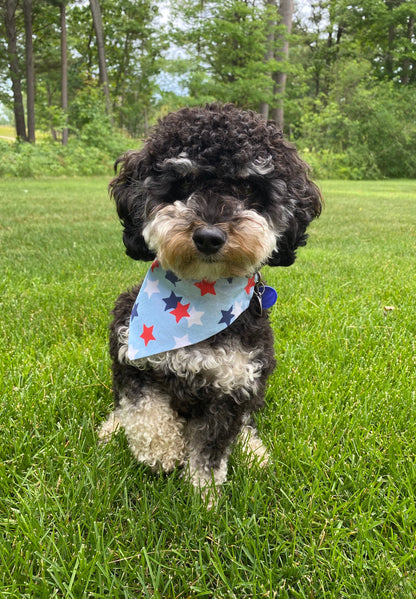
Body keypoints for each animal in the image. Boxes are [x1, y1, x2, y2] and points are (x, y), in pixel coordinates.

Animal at [98, 104, 322, 502]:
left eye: (248, 187)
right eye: (184, 184)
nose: (209, 236)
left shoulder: (232, 386)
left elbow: (211, 449)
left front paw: (203, 498)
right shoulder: (130, 355)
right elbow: (142, 409)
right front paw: (161, 450)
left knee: (248, 421)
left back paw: (253, 451)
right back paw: (112, 429)